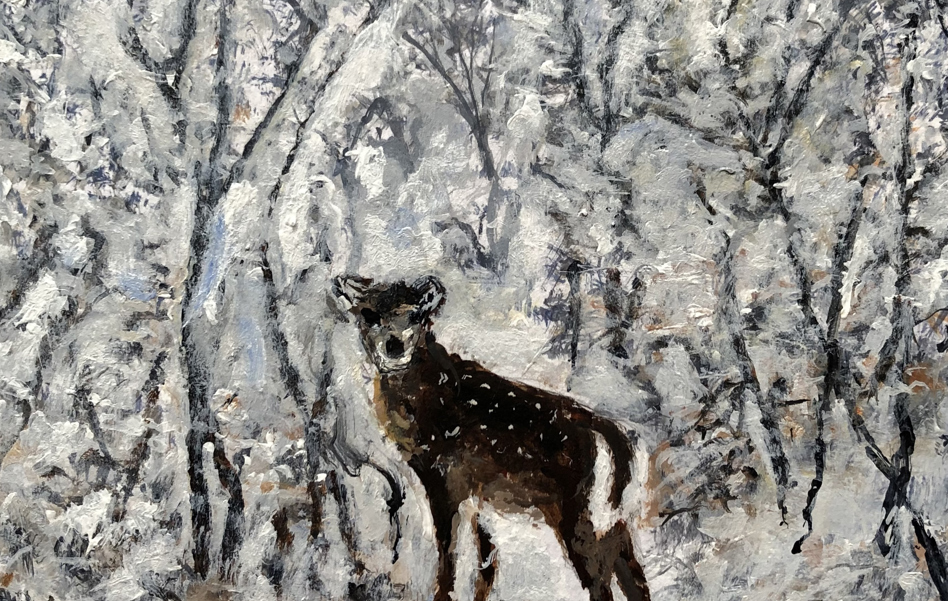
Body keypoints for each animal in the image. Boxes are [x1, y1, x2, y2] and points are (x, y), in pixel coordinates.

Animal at [333, 274, 651, 601]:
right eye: (369, 314)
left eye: (416, 314)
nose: (394, 346)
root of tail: (608, 431)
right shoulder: (476, 497)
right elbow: (486, 563)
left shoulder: (446, 480)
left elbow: (451, 554)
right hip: (607, 514)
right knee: (628, 566)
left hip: (576, 510)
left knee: (601, 576)